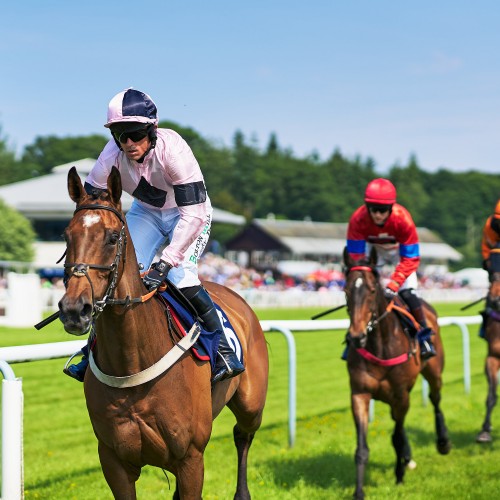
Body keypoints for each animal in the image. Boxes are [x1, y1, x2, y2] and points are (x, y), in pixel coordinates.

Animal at [58, 166, 270, 498]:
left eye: (113, 237)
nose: (73, 309)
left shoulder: (191, 458)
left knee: (243, 435)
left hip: (251, 405)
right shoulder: (113, 460)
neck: (132, 360)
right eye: (66, 236)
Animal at [342, 250, 452, 500]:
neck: (380, 344)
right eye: (346, 290)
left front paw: (400, 475)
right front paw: (359, 491)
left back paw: (442, 441)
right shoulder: (360, 394)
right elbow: (362, 449)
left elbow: (398, 437)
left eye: (372, 290)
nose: (356, 337)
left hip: (434, 372)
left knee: (435, 399)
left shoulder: (402, 396)